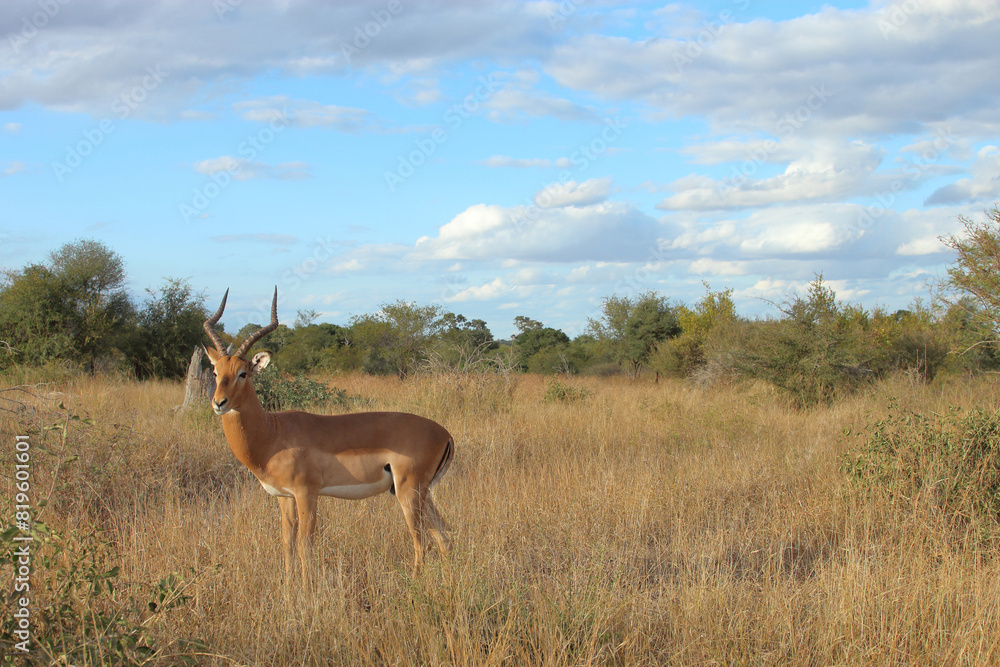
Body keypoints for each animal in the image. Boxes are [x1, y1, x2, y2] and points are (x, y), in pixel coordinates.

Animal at [202, 288, 453, 582]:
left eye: (243, 373)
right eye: (216, 372)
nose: (219, 402)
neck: (273, 435)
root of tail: (445, 434)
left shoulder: (307, 494)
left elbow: (304, 545)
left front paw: (307, 589)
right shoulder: (284, 497)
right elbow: (287, 543)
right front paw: (289, 590)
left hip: (409, 494)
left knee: (421, 541)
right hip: (422, 495)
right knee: (444, 537)